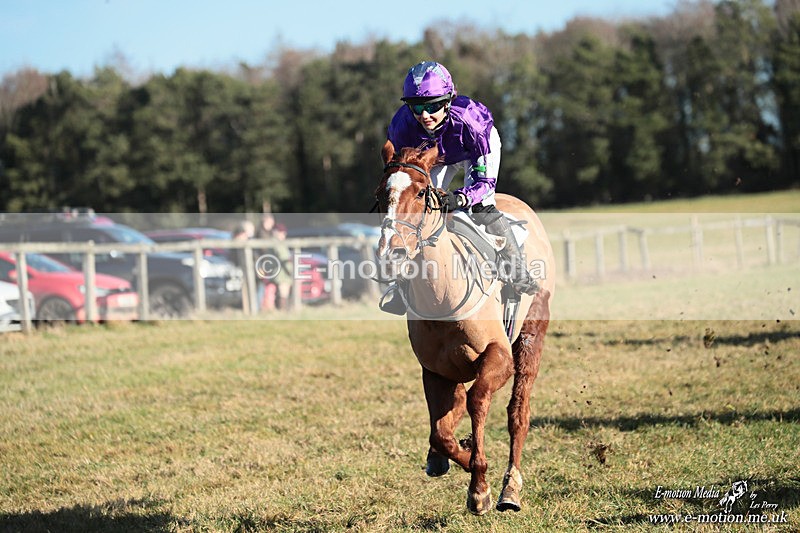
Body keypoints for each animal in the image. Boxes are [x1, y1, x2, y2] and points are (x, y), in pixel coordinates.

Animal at [374, 141, 555, 515]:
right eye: (381, 194)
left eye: (420, 192)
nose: (390, 255)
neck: (442, 294)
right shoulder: (434, 370)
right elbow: (440, 432)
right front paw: (459, 456)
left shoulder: (499, 356)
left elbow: (478, 400)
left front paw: (480, 486)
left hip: (532, 333)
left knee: (517, 411)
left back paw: (510, 489)